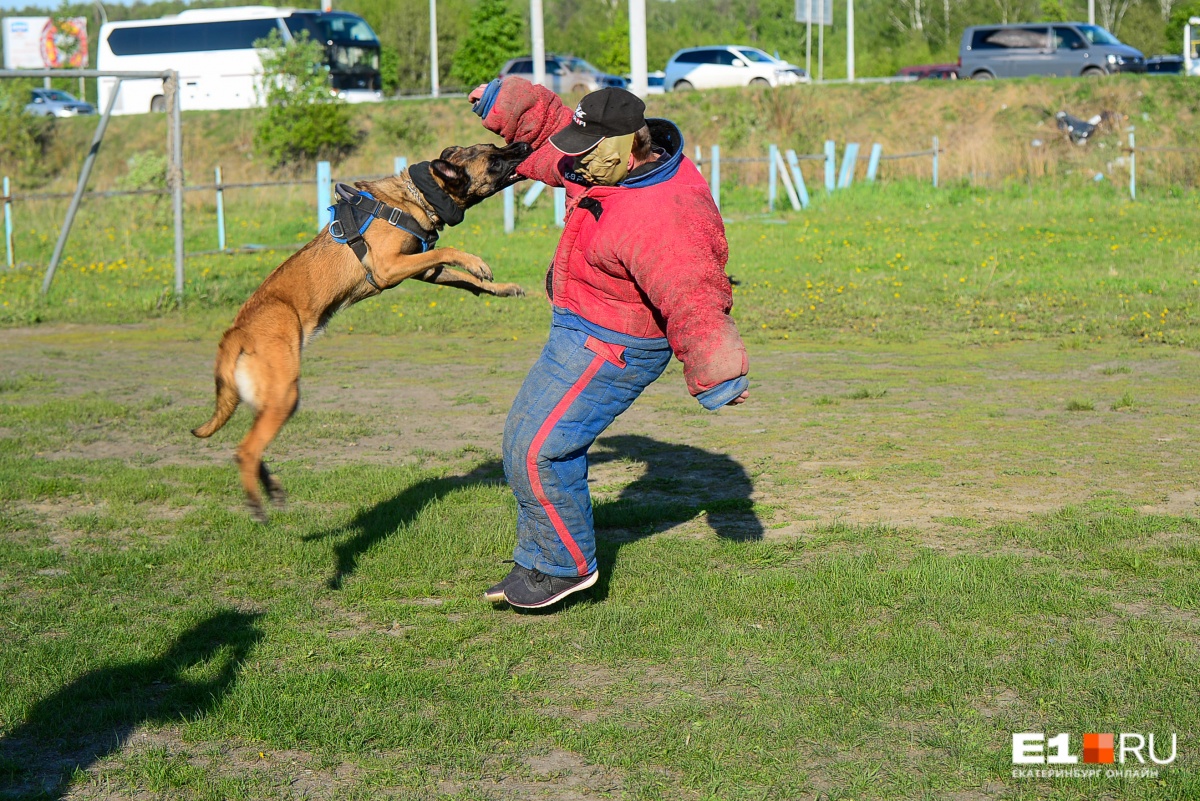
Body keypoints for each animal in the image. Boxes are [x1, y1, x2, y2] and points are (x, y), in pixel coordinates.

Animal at [192, 140, 530, 522]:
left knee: (255, 444)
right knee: (245, 450)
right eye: (494, 160)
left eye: (494, 146)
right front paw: (476, 261)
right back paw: (256, 504)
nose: (522, 145)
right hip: (284, 394)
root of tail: (235, 332)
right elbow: (448, 250)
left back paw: (270, 487)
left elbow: (467, 280)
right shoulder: (389, 267)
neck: (414, 197)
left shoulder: (422, 270)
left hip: (267, 397)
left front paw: (502, 287)